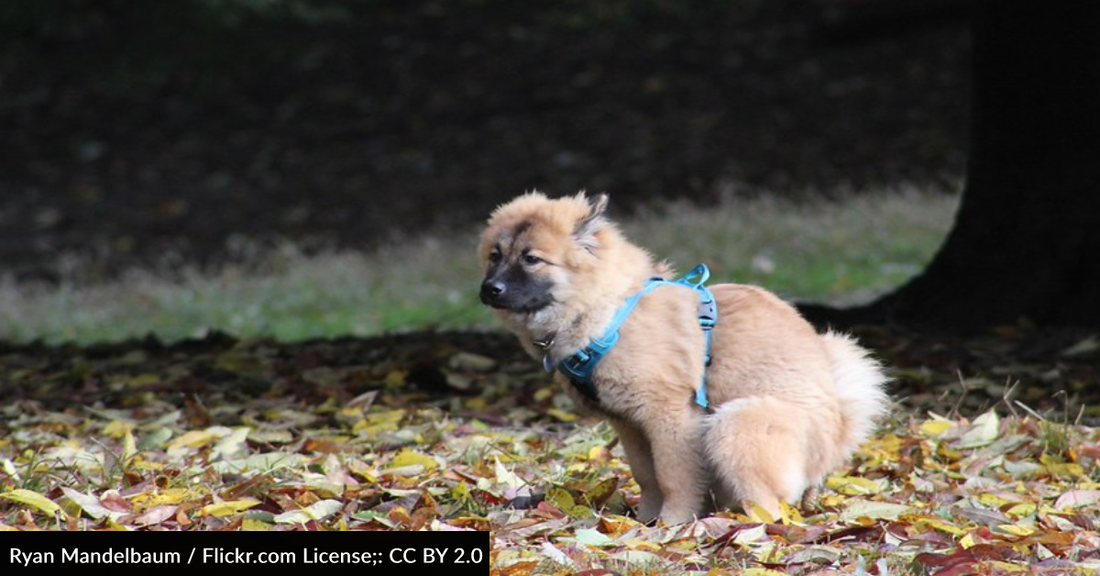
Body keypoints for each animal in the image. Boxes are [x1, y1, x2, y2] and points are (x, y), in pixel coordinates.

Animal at [477, 191, 888, 523]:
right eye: (495, 256)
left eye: (531, 259)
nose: (488, 290)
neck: (608, 311)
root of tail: (837, 437)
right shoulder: (630, 425)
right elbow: (647, 477)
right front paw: (643, 522)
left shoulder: (671, 417)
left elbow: (673, 477)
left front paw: (672, 525)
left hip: (735, 423)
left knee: (772, 509)